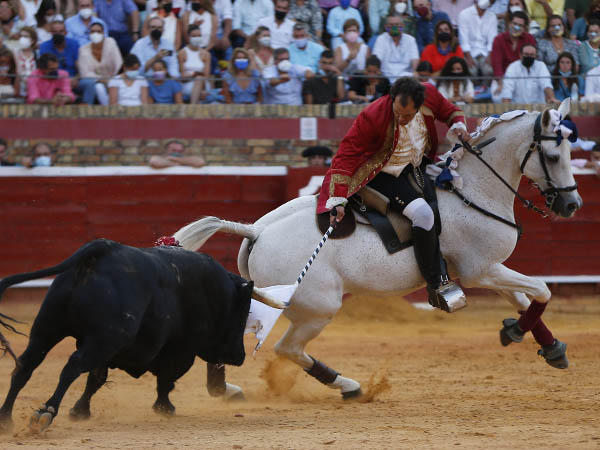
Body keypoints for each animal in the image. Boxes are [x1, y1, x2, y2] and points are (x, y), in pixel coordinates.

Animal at [0, 237, 251, 430]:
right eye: (243, 315)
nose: (240, 355)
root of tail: (103, 249)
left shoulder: (106, 349)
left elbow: (96, 379)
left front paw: (80, 411)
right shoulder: (181, 350)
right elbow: (166, 379)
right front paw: (164, 407)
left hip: (48, 329)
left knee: (25, 365)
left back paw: (5, 419)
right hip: (103, 339)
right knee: (72, 367)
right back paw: (45, 413)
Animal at [172, 101, 580, 398]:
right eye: (553, 156)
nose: (571, 205)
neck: (472, 191)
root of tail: (257, 230)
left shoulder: (487, 270)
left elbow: (524, 299)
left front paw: (544, 345)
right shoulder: (481, 269)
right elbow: (541, 290)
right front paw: (520, 333)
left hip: (272, 300)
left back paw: (224, 389)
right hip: (318, 307)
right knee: (287, 349)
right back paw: (349, 386)